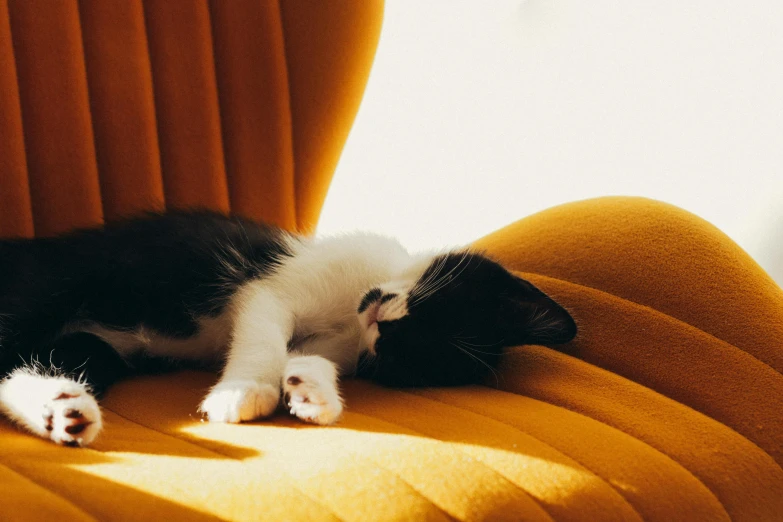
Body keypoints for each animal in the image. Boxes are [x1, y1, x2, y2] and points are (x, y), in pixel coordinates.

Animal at [0, 209, 576, 444]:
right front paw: (245, 390)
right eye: (436, 306)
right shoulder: (272, 287)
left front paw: (313, 395)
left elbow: (306, 355)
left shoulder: (345, 343)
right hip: (45, 291)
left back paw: (65, 413)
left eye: (400, 357)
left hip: (91, 345)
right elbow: (265, 331)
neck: (353, 308)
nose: (384, 325)